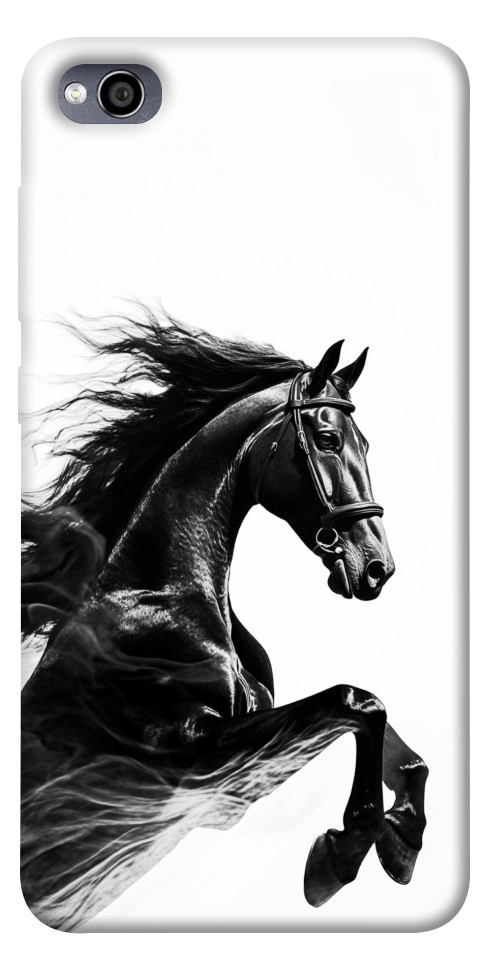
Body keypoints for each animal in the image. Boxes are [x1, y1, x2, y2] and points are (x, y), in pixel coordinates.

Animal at [21, 314, 428, 930]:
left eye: (364, 443)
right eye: (327, 439)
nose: (377, 567)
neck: (161, 597)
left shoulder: (231, 782)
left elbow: (386, 730)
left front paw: (402, 841)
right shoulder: (193, 762)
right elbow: (355, 702)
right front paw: (339, 856)